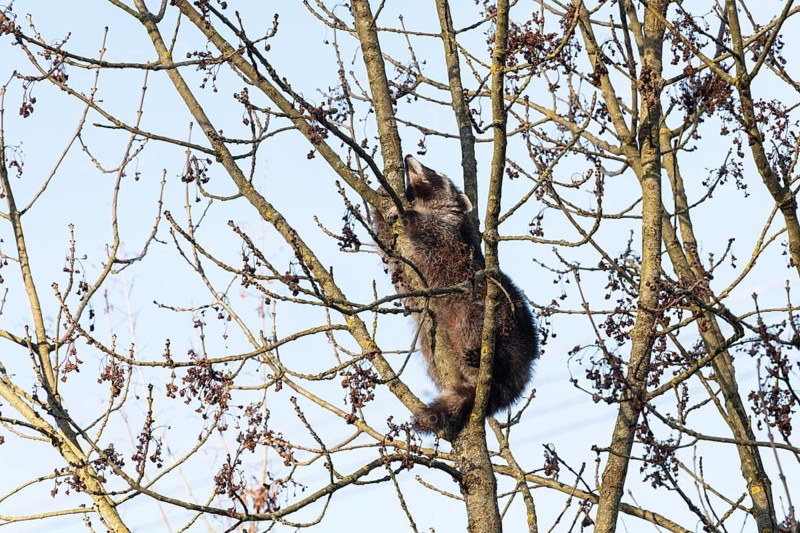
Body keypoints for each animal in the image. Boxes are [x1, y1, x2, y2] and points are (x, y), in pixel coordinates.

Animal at [373, 155, 539, 436]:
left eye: (435, 173)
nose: (409, 157)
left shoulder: (453, 241)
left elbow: (432, 238)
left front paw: (409, 214)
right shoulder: (404, 267)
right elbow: (392, 257)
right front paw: (381, 201)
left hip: (495, 317)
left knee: (473, 324)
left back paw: (495, 365)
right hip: (433, 342)